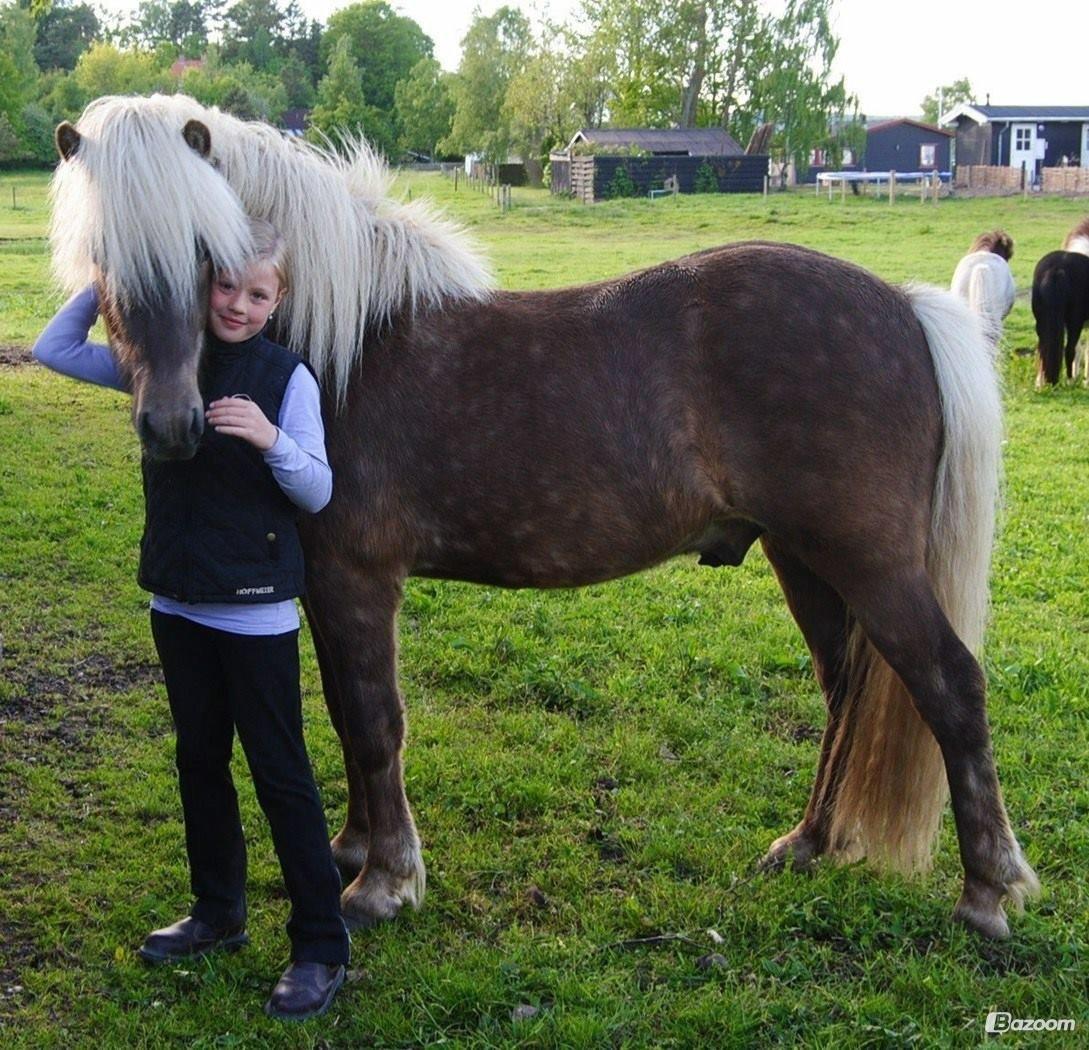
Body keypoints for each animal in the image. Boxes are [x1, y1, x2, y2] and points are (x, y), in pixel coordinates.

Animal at [49, 92, 1036, 945]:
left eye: (205, 248)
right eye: (101, 253)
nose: (171, 426)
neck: (348, 341)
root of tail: (902, 308)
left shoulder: (356, 580)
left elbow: (374, 720)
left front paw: (384, 882)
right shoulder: (325, 587)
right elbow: (342, 712)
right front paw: (353, 849)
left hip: (870, 562)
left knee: (950, 686)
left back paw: (986, 893)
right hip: (807, 561)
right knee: (845, 689)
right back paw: (807, 845)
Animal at [1028, 249, 1089, 385]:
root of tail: (1057, 269)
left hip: (1041, 321)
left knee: (1042, 348)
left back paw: (1040, 382)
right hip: (1074, 322)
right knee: (1069, 349)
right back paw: (1070, 381)